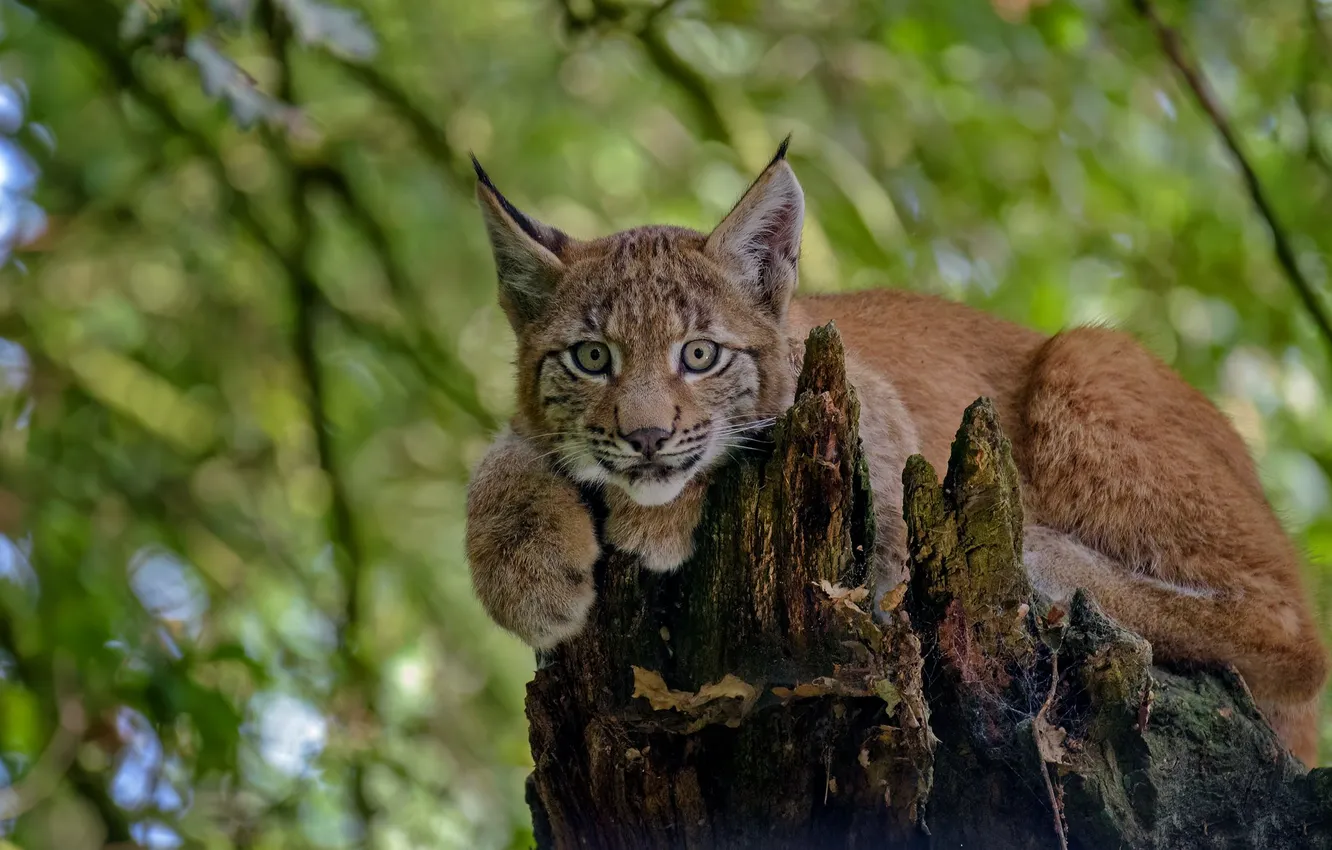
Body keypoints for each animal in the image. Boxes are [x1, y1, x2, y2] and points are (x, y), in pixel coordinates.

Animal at [463, 143, 1326, 767]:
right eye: (592, 359)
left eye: (700, 355)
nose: (644, 437)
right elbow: (504, 452)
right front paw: (521, 568)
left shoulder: (877, 451)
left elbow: (735, 444)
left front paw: (660, 516)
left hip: (1085, 354)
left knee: (1299, 641)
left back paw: (1052, 563)